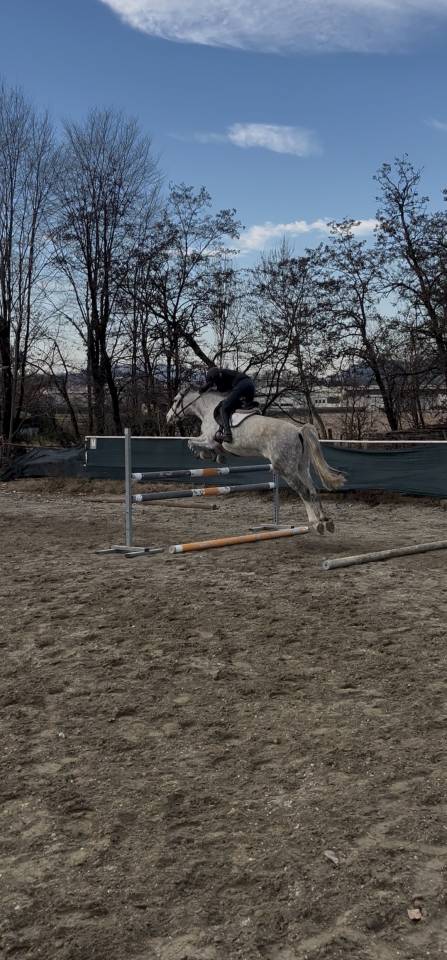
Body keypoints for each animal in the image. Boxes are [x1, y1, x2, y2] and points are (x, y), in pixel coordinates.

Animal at [166, 387, 345, 534]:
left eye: (175, 400)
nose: (168, 417)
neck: (208, 409)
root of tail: (298, 431)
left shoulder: (209, 439)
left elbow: (191, 442)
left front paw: (205, 454)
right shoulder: (211, 441)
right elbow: (202, 445)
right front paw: (216, 456)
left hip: (286, 469)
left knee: (304, 491)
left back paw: (315, 523)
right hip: (301, 467)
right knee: (313, 490)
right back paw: (325, 521)